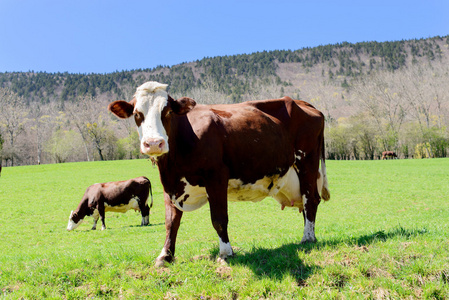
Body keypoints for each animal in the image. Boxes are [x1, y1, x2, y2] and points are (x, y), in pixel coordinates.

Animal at [107, 81, 328, 266]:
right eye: (137, 114)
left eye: (168, 111)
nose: (154, 143)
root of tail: (301, 102)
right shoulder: (169, 185)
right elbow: (171, 222)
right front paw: (165, 255)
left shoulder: (216, 177)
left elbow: (219, 218)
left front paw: (226, 252)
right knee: (307, 202)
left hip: (306, 163)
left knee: (310, 200)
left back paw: (308, 237)